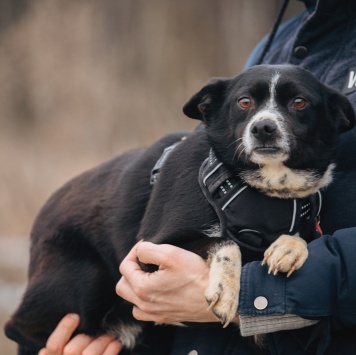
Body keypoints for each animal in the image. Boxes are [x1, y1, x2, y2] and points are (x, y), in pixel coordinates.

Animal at [5, 65, 356, 354]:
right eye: (244, 102)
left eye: (299, 102)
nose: (263, 128)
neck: (262, 191)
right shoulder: (149, 251)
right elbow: (225, 242)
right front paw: (226, 289)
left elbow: (302, 238)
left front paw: (289, 247)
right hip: (86, 280)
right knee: (18, 329)